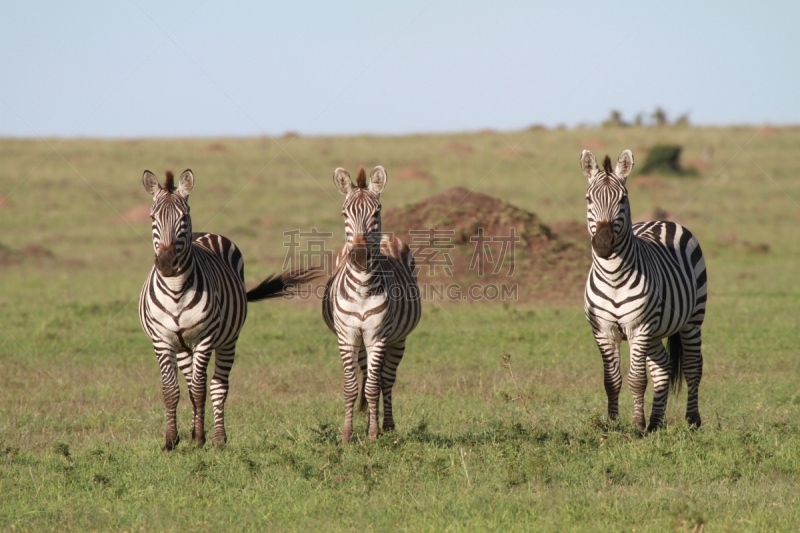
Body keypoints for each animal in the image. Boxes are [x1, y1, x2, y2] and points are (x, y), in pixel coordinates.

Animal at [138, 169, 312, 448]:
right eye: (153, 217)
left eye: (183, 217)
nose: (165, 263)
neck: (176, 291)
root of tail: (206, 233)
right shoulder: (161, 340)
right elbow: (171, 391)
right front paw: (171, 440)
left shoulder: (205, 339)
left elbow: (201, 390)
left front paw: (200, 438)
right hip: (183, 347)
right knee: (190, 384)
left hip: (228, 340)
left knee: (217, 387)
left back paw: (218, 438)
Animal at [324, 165, 424, 440]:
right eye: (344, 213)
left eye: (377, 212)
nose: (359, 253)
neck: (361, 288)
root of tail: (389, 237)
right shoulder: (347, 336)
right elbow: (351, 387)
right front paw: (347, 435)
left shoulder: (378, 336)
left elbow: (372, 387)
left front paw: (372, 434)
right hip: (361, 343)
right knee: (371, 376)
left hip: (398, 339)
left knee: (385, 380)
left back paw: (386, 426)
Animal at [580, 150, 708, 432]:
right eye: (588, 199)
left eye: (622, 199)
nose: (603, 244)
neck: (613, 276)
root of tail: (661, 220)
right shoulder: (602, 330)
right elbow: (611, 380)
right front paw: (613, 424)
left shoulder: (638, 327)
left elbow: (637, 380)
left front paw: (637, 426)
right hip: (655, 332)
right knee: (663, 367)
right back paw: (656, 422)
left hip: (692, 320)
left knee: (693, 366)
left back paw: (692, 420)